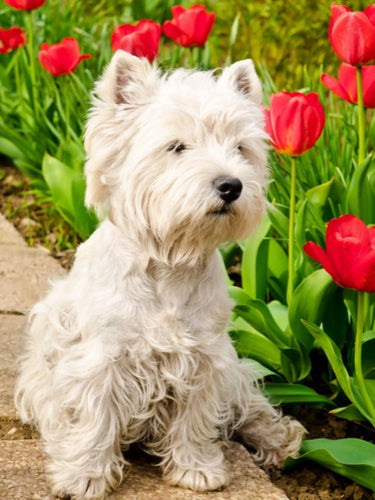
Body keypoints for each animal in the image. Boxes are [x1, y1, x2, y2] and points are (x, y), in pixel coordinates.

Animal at [13, 50, 306, 500]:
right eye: (177, 147)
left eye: (240, 148)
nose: (231, 185)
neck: (171, 260)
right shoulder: (101, 357)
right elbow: (95, 416)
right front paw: (86, 475)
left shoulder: (206, 356)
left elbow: (196, 417)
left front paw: (196, 469)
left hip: (234, 371)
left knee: (247, 403)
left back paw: (278, 439)